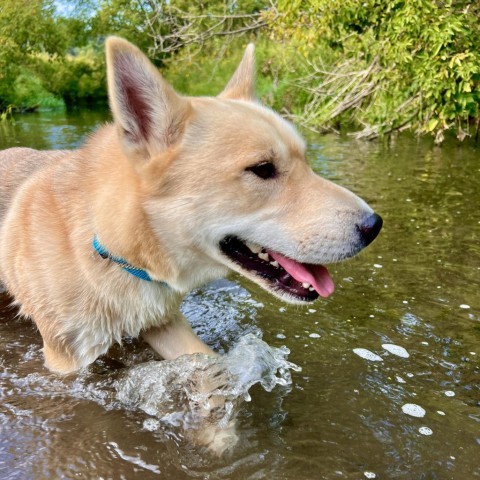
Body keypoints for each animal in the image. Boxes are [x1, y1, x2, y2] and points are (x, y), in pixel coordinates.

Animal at [0, 36, 382, 376]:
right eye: (262, 169)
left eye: (306, 160)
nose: (374, 226)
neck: (108, 244)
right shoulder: (66, 358)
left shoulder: (165, 323)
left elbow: (208, 367)